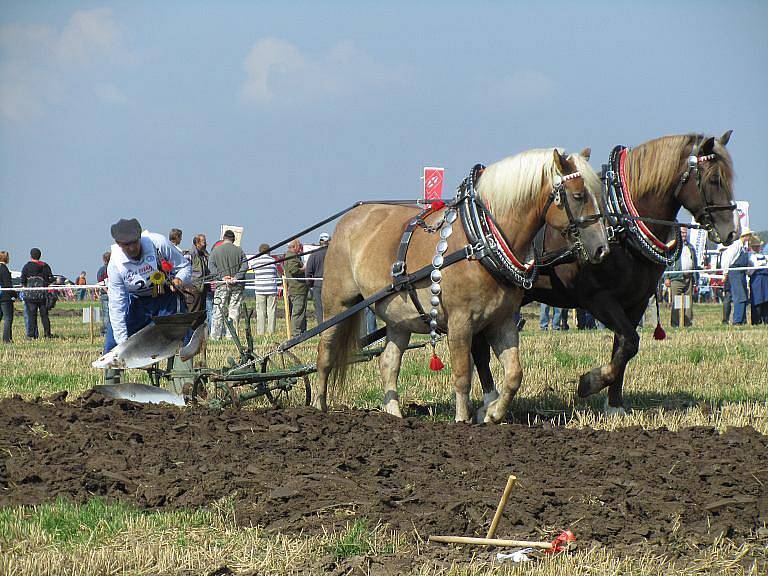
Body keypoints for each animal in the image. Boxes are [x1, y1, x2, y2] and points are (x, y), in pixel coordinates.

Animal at [316, 147, 608, 424]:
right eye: (578, 195)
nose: (601, 248)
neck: (480, 243)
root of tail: (350, 218)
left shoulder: (502, 321)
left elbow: (514, 373)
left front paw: (492, 414)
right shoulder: (460, 322)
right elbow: (462, 375)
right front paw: (462, 419)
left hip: (398, 319)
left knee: (388, 363)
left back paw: (394, 414)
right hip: (338, 303)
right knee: (325, 354)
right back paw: (318, 407)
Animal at [474, 131, 736, 414]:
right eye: (714, 179)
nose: (731, 231)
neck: (620, 226)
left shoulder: (635, 301)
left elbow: (623, 347)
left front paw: (614, 404)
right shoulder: (597, 298)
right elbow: (630, 341)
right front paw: (591, 382)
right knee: (478, 348)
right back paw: (488, 402)